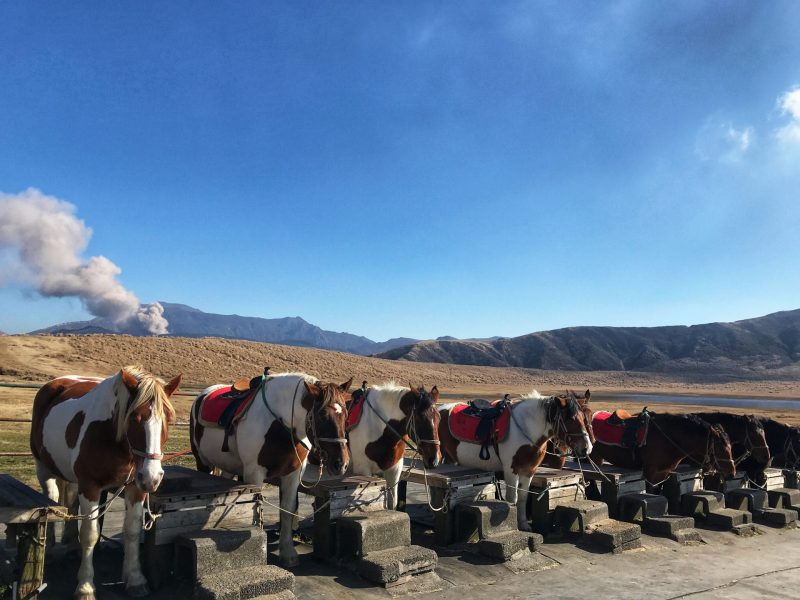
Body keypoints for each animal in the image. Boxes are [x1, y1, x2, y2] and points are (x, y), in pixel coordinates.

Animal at [30, 366, 181, 600]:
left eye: (169, 419)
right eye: (135, 418)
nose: (153, 477)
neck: (112, 437)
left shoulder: (135, 487)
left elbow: (132, 531)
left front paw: (135, 579)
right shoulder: (91, 487)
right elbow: (90, 535)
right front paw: (85, 586)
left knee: (71, 503)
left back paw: (72, 547)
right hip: (44, 468)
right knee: (52, 499)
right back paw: (51, 548)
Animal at [189, 370, 352, 568]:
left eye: (345, 414)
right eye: (322, 416)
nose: (341, 464)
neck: (280, 425)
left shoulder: (292, 475)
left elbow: (287, 511)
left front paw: (287, 552)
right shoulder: (254, 474)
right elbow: (256, 512)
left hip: (228, 466)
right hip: (202, 462)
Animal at [438, 392, 592, 532]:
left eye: (584, 418)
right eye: (570, 419)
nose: (587, 448)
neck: (526, 430)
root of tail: (441, 408)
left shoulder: (529, 471)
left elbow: (523, 497)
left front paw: (523, 524)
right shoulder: (511, 470)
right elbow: (513, 498)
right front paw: (513, 524)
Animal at [588, 410, 736, 486]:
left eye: (730, 447)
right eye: (720, 448)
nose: (732, 473)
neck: (668, 438)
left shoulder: (664, 472)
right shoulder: (649, 472)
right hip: (593, 458)